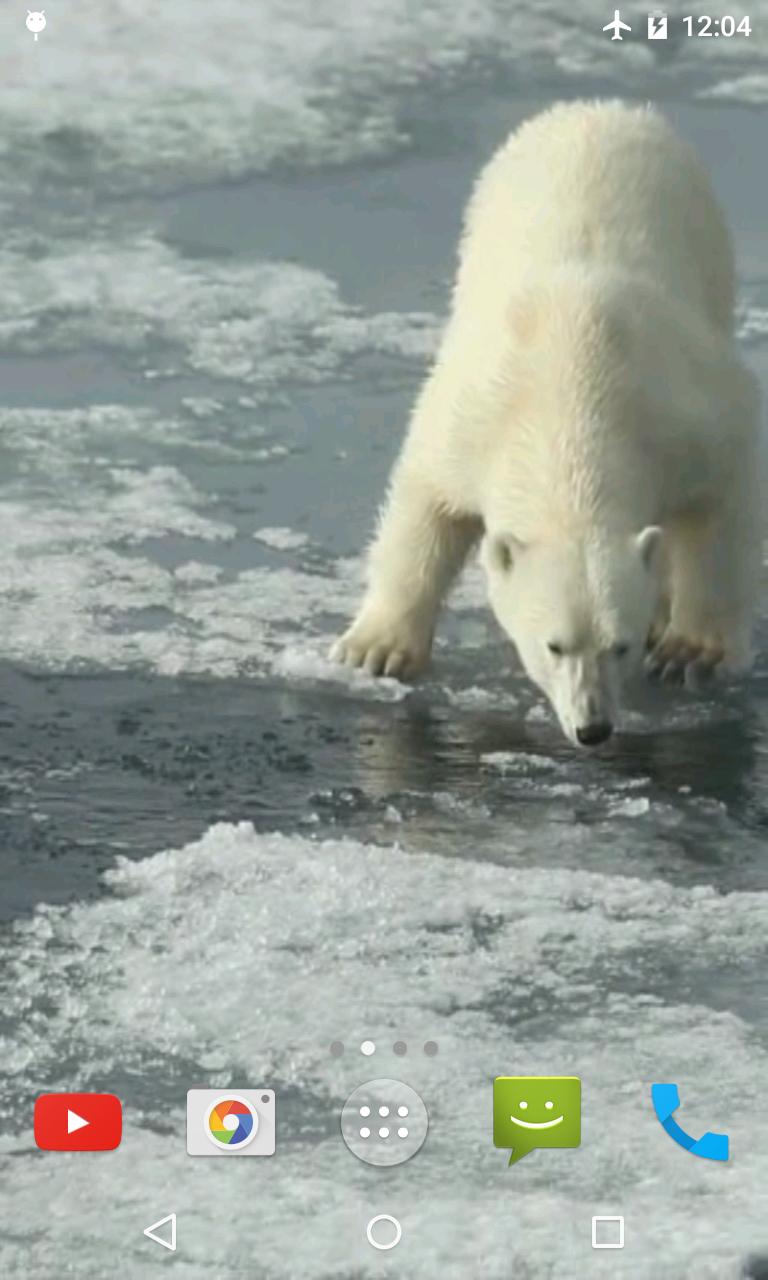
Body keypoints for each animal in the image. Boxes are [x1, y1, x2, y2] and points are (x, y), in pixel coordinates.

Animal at [331, 100, 762, 747]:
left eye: (619, 645)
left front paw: (691, 649)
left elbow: (723, 500)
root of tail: (599, 108)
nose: (593, 727)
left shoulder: (683, 415)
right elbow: (425, 503)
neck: (574, 396)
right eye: (553, 645)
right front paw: (376, 650)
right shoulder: (476, 414)